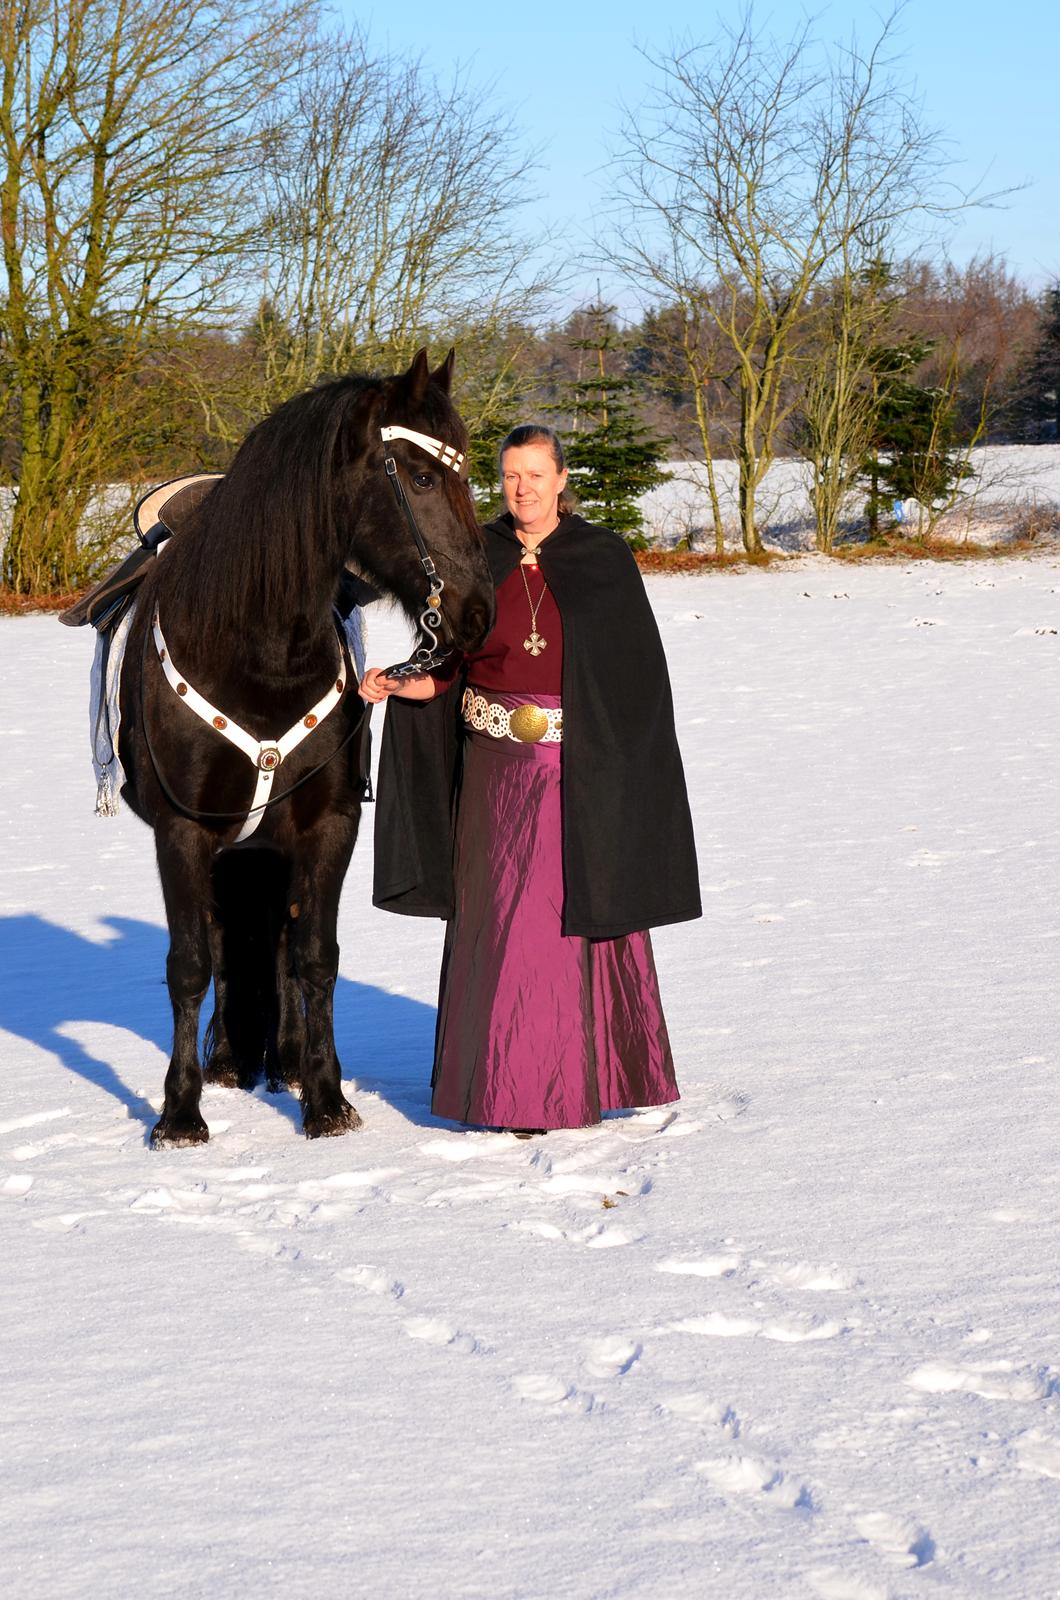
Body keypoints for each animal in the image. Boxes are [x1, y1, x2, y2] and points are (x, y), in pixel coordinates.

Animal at [119, 355, 493, 1145]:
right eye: (420, 477)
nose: (480, 610)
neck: (259, 655)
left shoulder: (328, 824)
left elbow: (316, 956)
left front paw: (325, 1098)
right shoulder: (183, 831)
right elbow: (190, 964)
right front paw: (179, 1114)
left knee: (281, 942)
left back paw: (283, 1060)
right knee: (226, 944)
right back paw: (231, 1063)